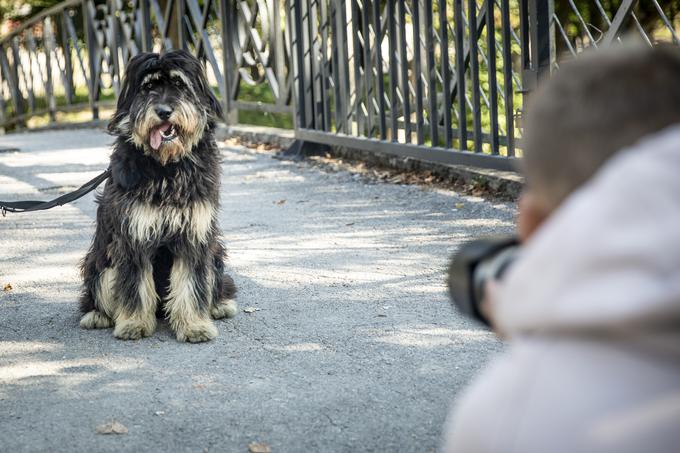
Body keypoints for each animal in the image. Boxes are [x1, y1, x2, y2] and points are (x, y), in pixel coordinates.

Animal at [79, 49, 238, 340]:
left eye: (179, 84)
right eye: (148, 88)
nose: (163, 111)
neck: (166, 166)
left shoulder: (193, 236)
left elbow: (191, 284)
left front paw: (195, 325)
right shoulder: (133, 236)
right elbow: (134, 285)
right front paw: (133, 323)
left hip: (215, 255)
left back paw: (220, 304)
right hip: (101, 262)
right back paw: (97, 315)